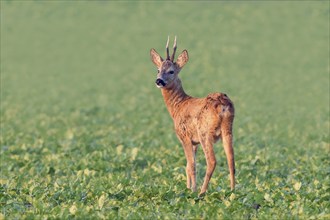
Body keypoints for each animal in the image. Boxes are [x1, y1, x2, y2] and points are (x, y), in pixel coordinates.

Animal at [151, 36, 236, 196]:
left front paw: (191, 190)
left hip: (205, 132)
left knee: (212, 161)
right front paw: (189, 187)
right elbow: (188, 165)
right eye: (158, 70)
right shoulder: (194, 141)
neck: (177, 106)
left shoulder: (184, 136)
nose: (159, 81)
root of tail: (223, 105)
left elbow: (191, 165)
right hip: (228, 130)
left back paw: (202, 192)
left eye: (171, 71)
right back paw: (233, 191)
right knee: (231, 159)